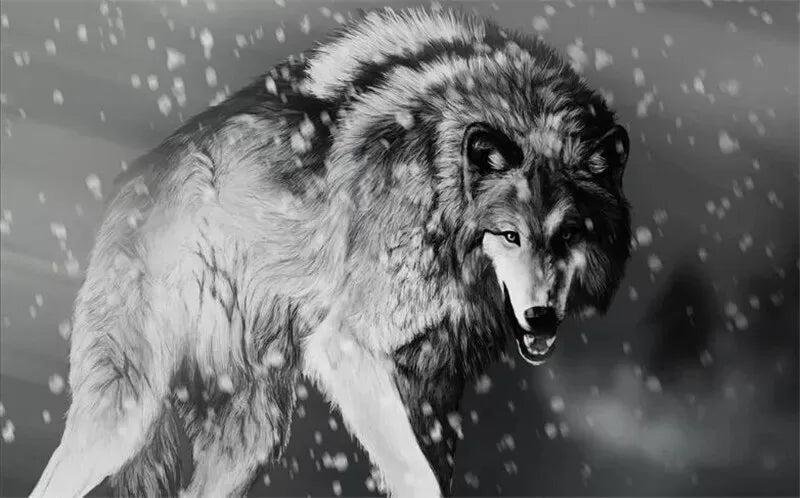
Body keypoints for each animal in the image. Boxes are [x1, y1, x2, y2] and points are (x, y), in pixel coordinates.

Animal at [31, 7, 632, 498]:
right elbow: (416, 478)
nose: (541, 316)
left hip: (253, 437)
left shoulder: (434, 390)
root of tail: (135, 177)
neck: (440, 185)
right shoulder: (348, 347)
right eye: (510, 235)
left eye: (570, 235)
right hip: (125, 416)